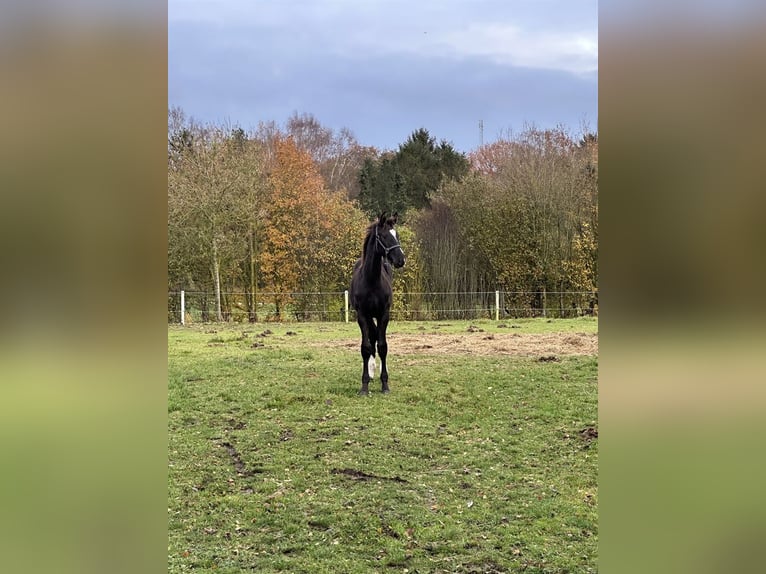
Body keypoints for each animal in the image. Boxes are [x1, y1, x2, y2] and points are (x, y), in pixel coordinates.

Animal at [350, 212, 404, 396]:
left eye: (397, 235)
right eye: (384, 236)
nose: (401, 259)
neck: (372, 280)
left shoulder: (383, 314)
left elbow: (383, 346)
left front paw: (385, 384)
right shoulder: (362, 315)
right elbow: (366, 347)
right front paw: (364, 385)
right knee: (371, 337)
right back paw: (371, 371)